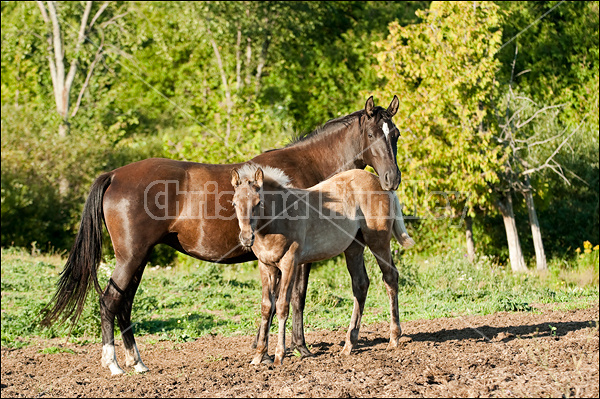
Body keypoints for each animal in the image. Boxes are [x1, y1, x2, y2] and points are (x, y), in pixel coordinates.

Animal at [232, 163, 414, 366]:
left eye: (258, 203)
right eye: (234, 203)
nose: (246, 238)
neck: (278, 219)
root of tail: (381, 184)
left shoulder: (290, 263)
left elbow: (281, 306)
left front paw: (279, 356)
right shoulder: (266, 266)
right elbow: (266, 307)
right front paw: (259, 356)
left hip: (378, 242)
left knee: (390, 278)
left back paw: (394, 339)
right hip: (354, 248)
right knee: (361, 285)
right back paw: (348, 345)